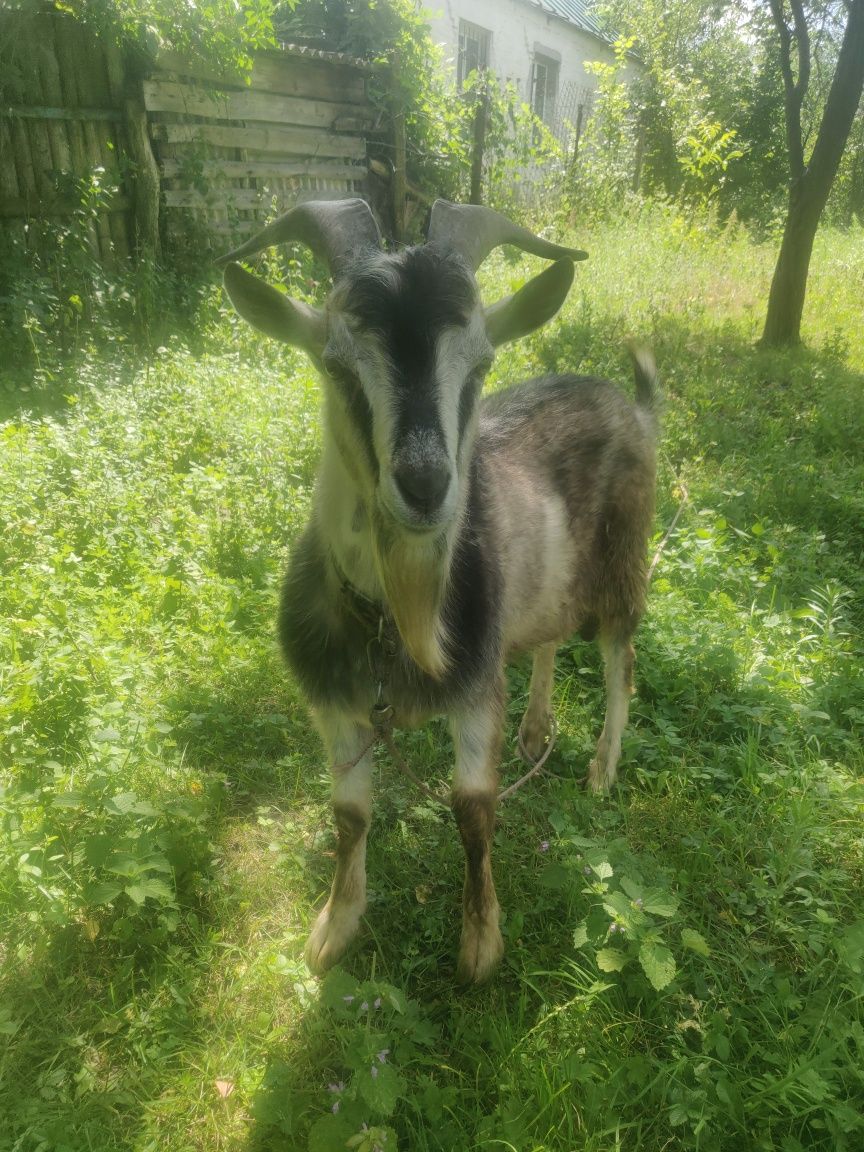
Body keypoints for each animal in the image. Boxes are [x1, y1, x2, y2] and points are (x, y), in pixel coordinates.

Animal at [220, 198, 658, 981]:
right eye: (335, 365)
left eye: (481, 365)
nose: (425, 486)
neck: (398, 622)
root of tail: (629, 405)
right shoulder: (335, 703)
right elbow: (350, 815)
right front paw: (334, 926)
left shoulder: (476, 687)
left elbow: (472, 807)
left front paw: (481, 943)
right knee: (547, 639)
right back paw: (537, 728)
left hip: (623, 559)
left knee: (620, 662)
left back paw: (602, 769)